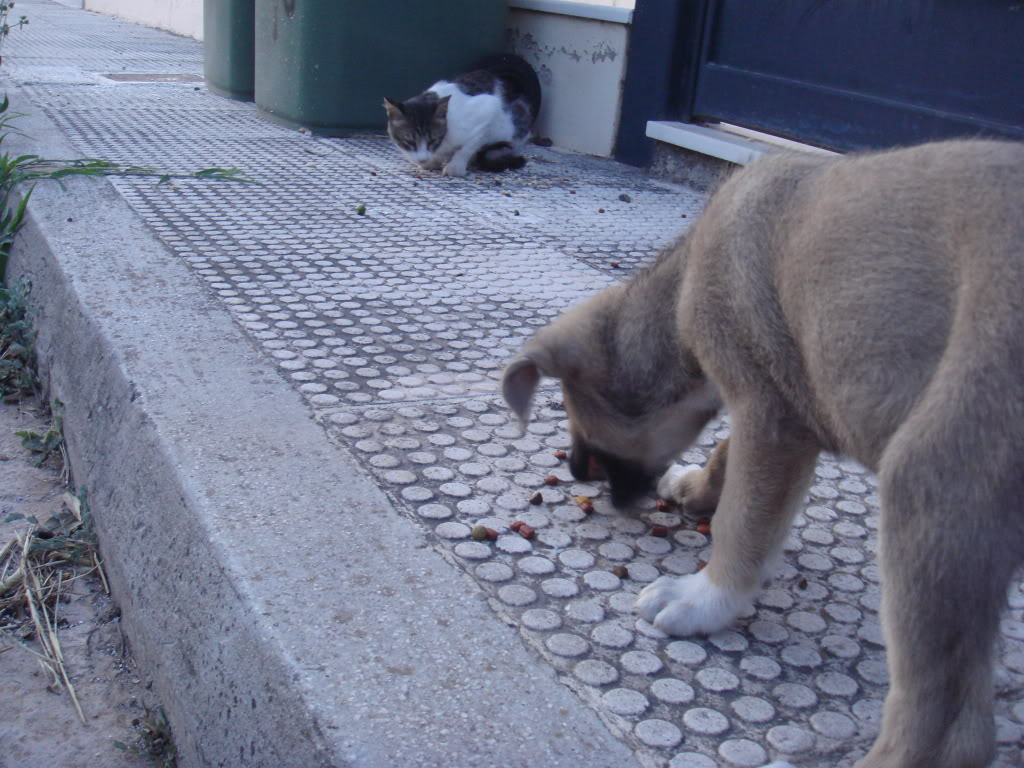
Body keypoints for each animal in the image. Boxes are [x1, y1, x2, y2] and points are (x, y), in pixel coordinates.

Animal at [385, 55, 544, 179]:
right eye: (409, 141)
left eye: (432, 140)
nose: (422, 159)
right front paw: (432, 161)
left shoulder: (488, 108)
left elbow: (468, 146)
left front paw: (455, 167)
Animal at [503, 140, 1024, 768]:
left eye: (579, 421)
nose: (578, 471)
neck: (680, 290)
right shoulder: (777, 411)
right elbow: (727, 460)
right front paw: (694, 487)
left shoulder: (770, 414)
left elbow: (742, 521)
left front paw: (706, 597)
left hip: (935, 476)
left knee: (947, 729)